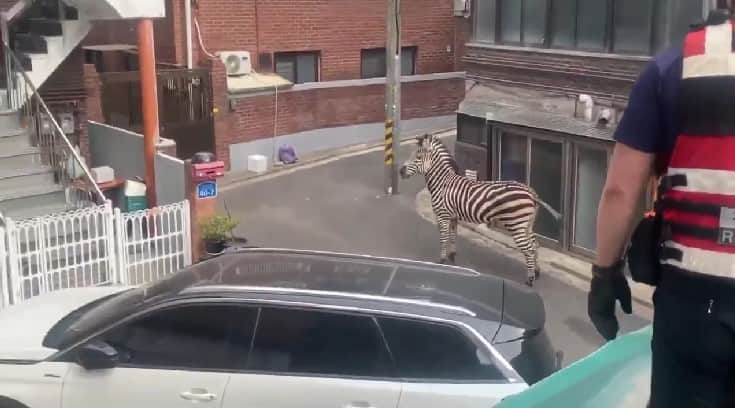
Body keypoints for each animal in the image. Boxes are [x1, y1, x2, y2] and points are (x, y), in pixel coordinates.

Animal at [400, 134, 560, 286]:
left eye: (418, 157)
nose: (401, 171)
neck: (443, 183)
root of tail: (532, 193)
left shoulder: (442, 215)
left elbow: (443, 238)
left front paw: (442, 260)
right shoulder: (453, 216)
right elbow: (453, 236)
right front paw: (452, 256)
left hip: (517, 225)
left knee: (528, 249)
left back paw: (530, 279)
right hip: (527, 225)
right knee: (534, 244)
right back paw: (537, 272)